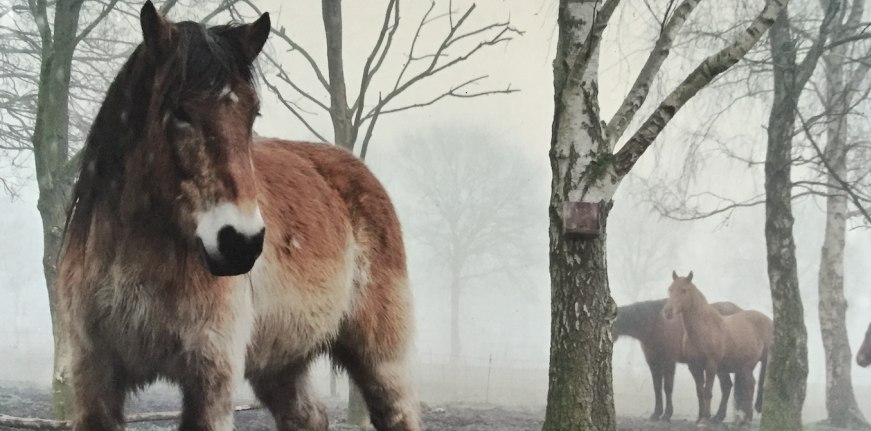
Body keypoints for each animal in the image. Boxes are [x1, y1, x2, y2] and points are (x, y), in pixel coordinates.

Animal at [55, 3, 422, 431]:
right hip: (282, 364)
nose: (240, 243)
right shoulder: (94, 380)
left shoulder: (211, 377)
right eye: (179, 111)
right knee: (308, 415)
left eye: (253, 113)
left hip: (382, 361)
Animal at [612, 298, 744, 424]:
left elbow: (668, 387)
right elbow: (657, 388)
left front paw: (666, 415)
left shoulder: (669, 362)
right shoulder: (653, 363)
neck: (657, 323)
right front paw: (656, 414)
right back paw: (718, 417)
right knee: (726, 386)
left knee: (726, 386)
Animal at [664, 274, 772, 426]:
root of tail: (770, 322)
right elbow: (700, 392)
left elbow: (707, 392)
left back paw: (746, 419)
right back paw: (742, 418)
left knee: (750, 386)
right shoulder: (694, 367)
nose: (667, 311)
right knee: (749, 385)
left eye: (684, 290)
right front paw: (699, 418)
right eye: (670, 289)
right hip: (743, 367)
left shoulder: (711, 366)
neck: (704, 328)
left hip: (752, 365)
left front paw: (705, 419)